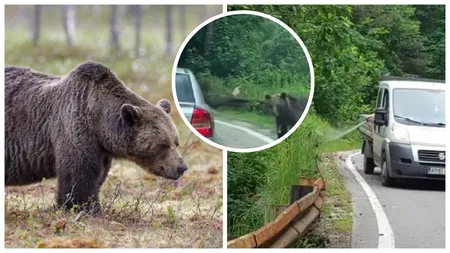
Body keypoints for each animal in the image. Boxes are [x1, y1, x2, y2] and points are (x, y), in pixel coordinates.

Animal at [3, 61, 186, 213]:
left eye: (176, 142)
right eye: (163, 144)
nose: (182, 167)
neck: (99, 122)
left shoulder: (102, 149)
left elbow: (99, 175)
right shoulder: (74, 126)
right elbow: (79, 174)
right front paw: (83, 208)